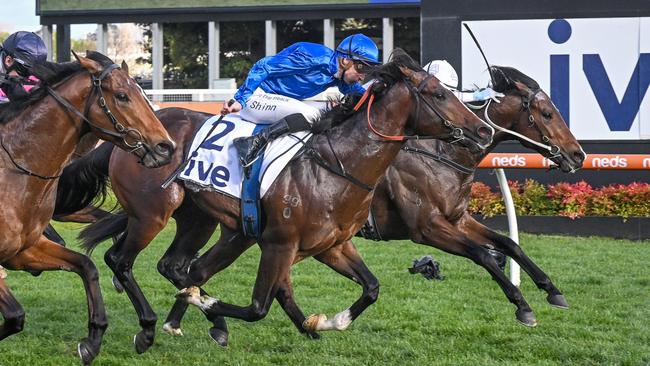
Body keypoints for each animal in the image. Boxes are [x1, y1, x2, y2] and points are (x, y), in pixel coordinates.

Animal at [0, 50, 173, 364]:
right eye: (122, 96)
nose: (166, 147)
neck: (15, 168)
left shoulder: (22, 250)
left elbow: (87, 265)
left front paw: (93, 339)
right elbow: (15, 316)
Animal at [64, 50, 492, 350]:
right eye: (439, 94)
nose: (482, 130)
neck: (339, 165)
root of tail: (131, 138)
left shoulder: (332, 244)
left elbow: (370, 287)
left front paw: (327, 322)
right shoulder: (279, 244)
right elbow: (258, 307)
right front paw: (210, 305)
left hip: (199, 219)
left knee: (178, 265)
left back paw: (200, 320)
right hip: (153, 213)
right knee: (121, 260)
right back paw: (154, 327)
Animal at [356, 66, 584, 326]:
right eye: (547, 114)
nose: (579, 155)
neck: (444, 154)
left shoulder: (458, 219)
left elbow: (509, 244)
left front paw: (552, 290)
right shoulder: (426, 227)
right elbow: (482, 253)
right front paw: (522, 305)